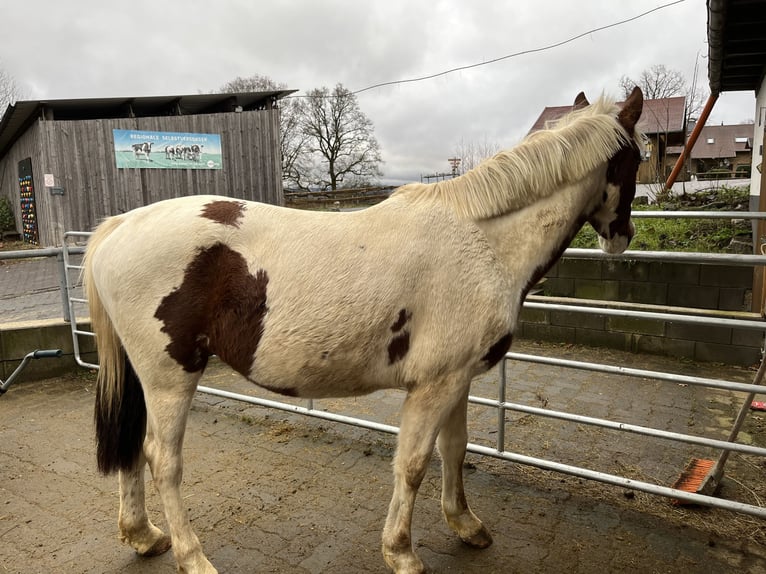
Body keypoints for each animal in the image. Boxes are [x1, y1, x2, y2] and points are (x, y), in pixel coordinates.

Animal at [84, 86, 644, 574]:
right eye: (636, 158)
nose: (622, 236)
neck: (482, 241)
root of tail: (120, 226)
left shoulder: (458, 379)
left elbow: (454, 450)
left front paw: (466, 525)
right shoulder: (434, 386)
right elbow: (413, 464)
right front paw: (402, 552)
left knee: (133, 447)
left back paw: (144, 536)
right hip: (170, 377)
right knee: (163, 459)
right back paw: (192, 556)